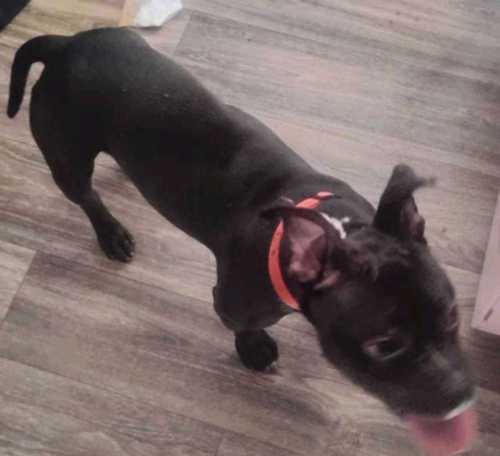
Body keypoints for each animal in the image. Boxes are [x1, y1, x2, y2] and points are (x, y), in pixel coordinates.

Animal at [8, 28, 477, 455]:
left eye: (454, 315)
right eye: (384, 346)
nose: (461, 397)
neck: (339, 229)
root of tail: (64, 46)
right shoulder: (233, 303)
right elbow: (243, 326)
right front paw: (254, 349)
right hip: (67, 159)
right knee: (87, 196)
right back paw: (111, 234)